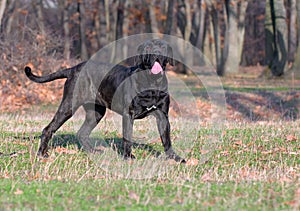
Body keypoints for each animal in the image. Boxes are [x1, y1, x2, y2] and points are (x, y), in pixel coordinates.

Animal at [24, 39, 185, 163]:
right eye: (149, 48)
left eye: (163, 47)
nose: (157, 53)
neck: (152, 82)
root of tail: (73, 69)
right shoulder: (129, 114)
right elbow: (127, 137)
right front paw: (128, 157)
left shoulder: (163, 116)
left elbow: (166, 138)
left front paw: (174, 157)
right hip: (69, 106)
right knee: (48, 128)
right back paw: (42, 154)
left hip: (96, 113)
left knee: (81, 133)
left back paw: (93, 151)